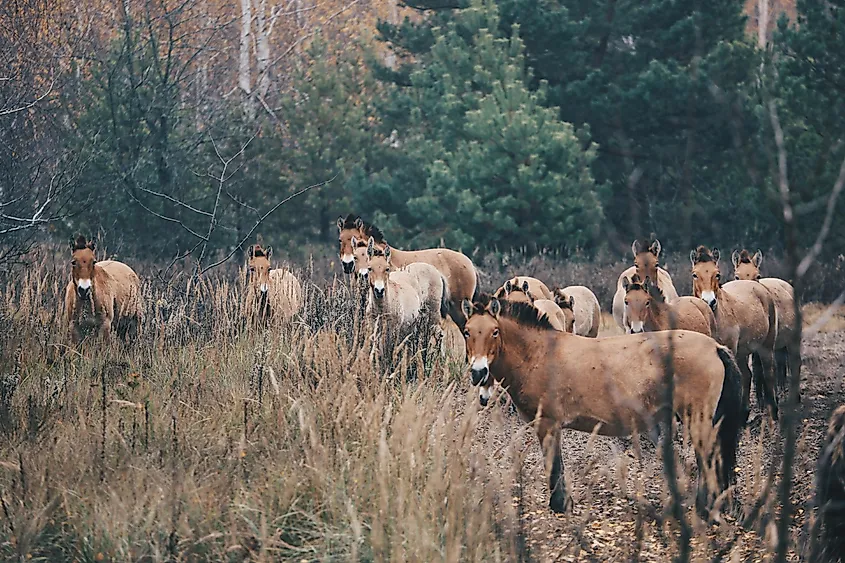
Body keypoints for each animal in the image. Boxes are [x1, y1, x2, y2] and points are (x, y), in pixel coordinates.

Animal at [458, 298, 740, 516]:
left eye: (494, 331)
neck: (538, 354)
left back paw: (704, 508)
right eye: (467, 331)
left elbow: (553, 465)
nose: (478, 372)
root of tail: (716, 347)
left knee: (708, 459)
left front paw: (558, 505)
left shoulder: (548, 424)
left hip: (698, 419)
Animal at [692, 245, 780, 420]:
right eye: (695, 274)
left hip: (766, 346)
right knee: (747, 375)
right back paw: (744, 412)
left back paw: (773, 411)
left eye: (717, 274)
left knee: (768, 372)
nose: (709, 302)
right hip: (742, 352)